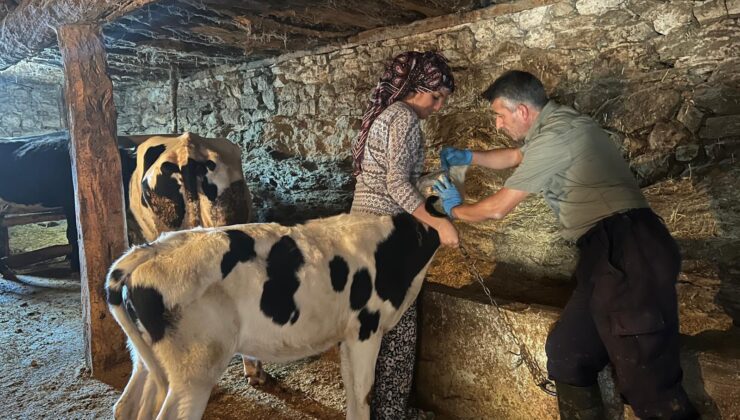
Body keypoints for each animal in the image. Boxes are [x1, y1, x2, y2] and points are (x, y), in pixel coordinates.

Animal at [104, 212, 440, 418]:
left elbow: (352, 388)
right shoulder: (366, 328)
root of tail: (153, 248)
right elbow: (363, 393)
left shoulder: (347, 335)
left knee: (127, 407)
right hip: (196, 366)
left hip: (147, 357)